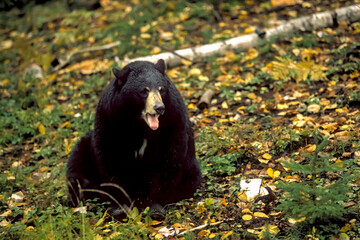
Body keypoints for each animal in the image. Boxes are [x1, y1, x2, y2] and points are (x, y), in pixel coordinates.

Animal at [66, 58, 201, 219]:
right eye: (144, 90)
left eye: (161, 89)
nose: (159, 108)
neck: (139, 124)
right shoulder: (110, 119)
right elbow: (111, 157)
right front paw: (121, 208)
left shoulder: (173, 119)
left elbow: (169, 158)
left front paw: (155, 208)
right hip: (85, 150)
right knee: (77, 167)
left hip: (191, 168)